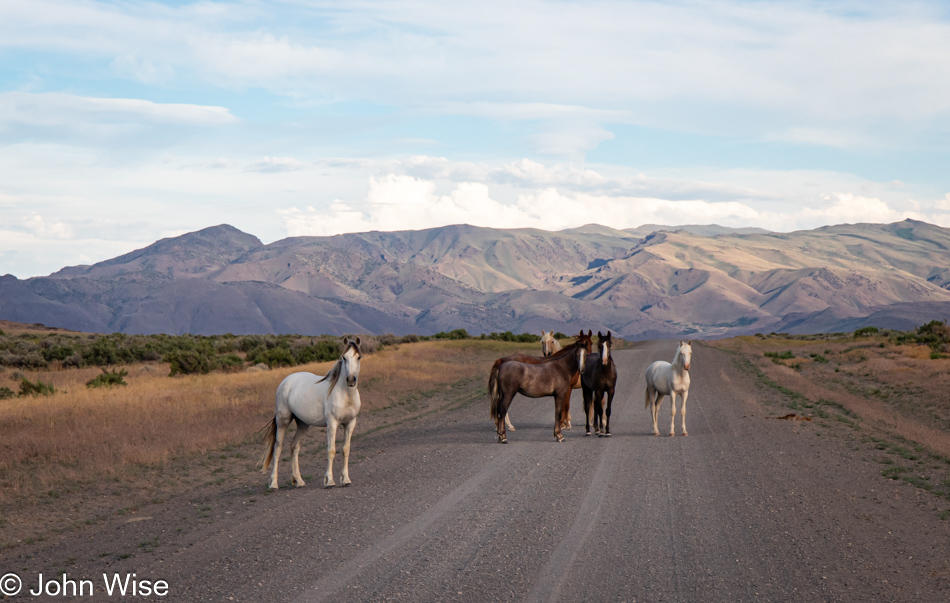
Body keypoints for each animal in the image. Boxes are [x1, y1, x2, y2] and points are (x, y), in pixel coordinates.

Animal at [260, 338, 364, 488]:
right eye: (344, 357)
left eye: (359, 357)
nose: (350, 379)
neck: (345, 395)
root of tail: (286, 381)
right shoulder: (332, 423)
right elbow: (331, 450)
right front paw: (329, 480)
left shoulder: (350, 423)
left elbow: (346, 450)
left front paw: (345, 479)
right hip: (283, 420)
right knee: (277, 448)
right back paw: (273, 483)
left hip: (303, 424)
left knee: (294, 446)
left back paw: (298, 480)